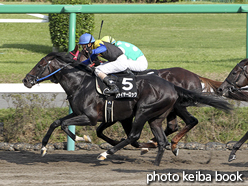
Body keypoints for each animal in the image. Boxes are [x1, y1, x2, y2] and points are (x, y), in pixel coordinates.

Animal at [22, 51, 232, 166]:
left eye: (40, 65)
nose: (26, 80)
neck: (81, 83)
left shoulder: (91, 117)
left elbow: (67, 125)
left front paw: (83, 139)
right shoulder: (91, 114)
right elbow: (57, 122)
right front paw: (43, 148)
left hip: (145, 111)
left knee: (138, 134)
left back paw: (108, 153)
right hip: (157, 115)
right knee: (165, 135)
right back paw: (158, 155)